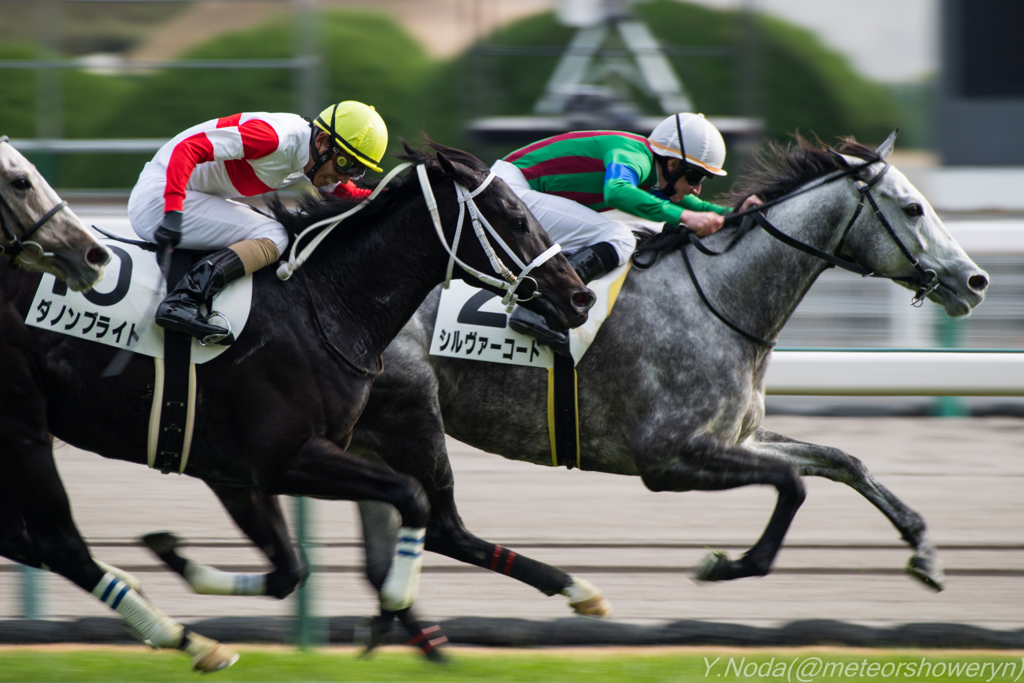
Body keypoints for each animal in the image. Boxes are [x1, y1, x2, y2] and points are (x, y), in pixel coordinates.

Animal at [2, 143, 593, 655]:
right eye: (517, 219)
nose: (580, 296)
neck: (325, 303)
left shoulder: (233, 471)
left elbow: (291, 570)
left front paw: (174, 555)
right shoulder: (284, 458)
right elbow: (411, 498)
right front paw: (393, 601)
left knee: (30, 540)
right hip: (26, 427)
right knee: (59, 543)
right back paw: (184, 639)